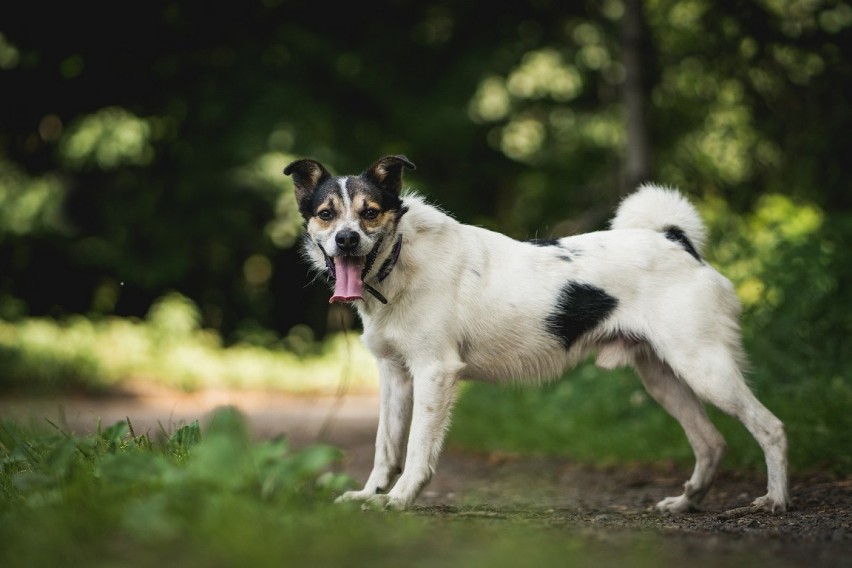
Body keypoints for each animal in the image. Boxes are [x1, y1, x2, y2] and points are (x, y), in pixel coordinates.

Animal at [282, 153, 788, 512]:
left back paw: (775, 500)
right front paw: (370, 495)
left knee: (771, 427)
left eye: (370, 213)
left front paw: (401, 499)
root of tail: (675, 239)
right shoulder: (394, 376)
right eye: (326, 214)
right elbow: (385, 447)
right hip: (663, 377)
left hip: (704, 368)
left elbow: (418, 448)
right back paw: (686, 502)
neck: (399, 260)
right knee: (711, 442)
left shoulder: (434, 373)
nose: (347, 239)